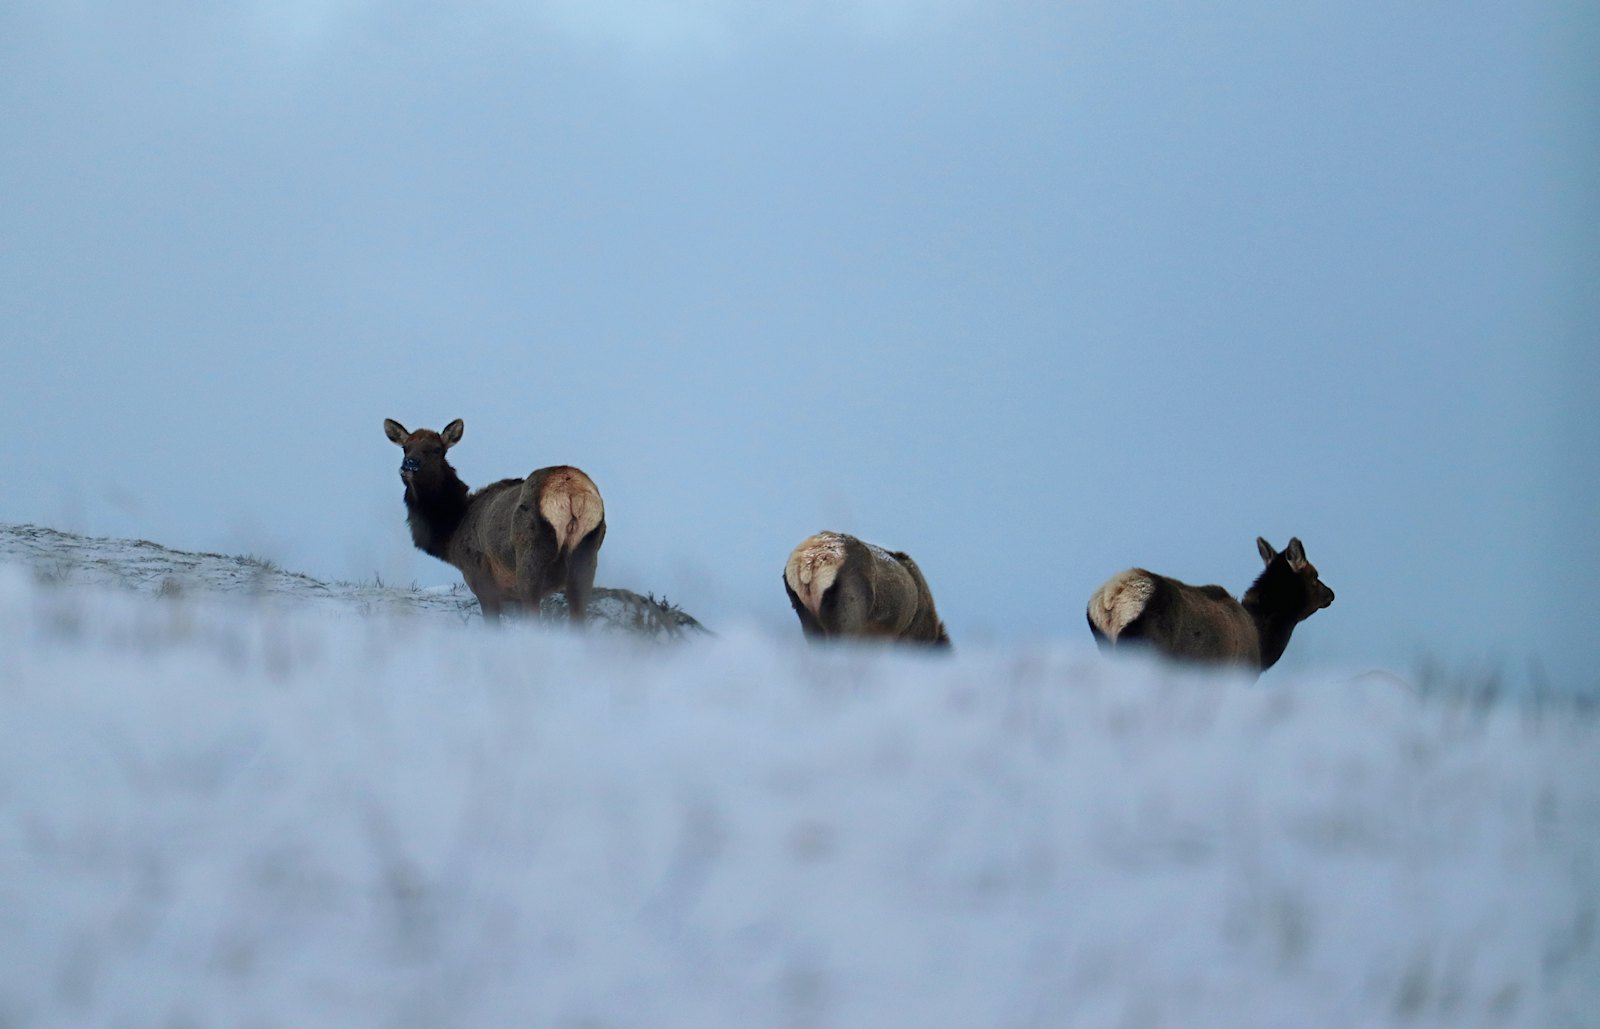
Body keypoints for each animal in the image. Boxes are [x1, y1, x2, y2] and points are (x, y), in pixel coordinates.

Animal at [383, 418, 606, 623]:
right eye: (405, 447)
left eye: (437, 449)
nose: (409, 464)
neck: (452, 529)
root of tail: (571, 491)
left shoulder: (481, 578)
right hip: (587, 554)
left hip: (530, 559)